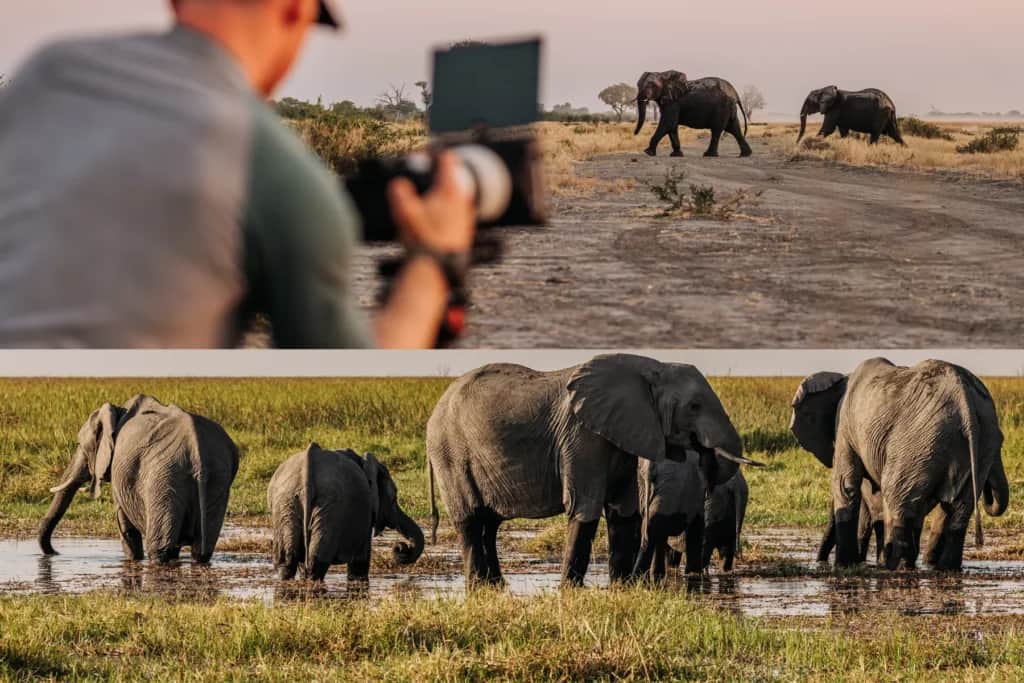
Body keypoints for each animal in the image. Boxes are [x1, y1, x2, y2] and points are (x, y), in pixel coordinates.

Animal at [39, 395, 239, 564]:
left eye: (80, 445)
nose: (56, 553)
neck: (118, 410)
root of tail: (197, 451)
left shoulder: (119, 471)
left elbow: (124, 524)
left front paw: (132, 561)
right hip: (217, 478)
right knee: (202, 549)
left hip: (164, 477)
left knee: (160, 547)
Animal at [267, 443, 424, 581]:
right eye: (393, 499)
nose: (401, 547)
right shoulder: (366, 513)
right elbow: (360, 563)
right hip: (329, 509)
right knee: (316, 562)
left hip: (286, 503)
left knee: (287, 562)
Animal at [426, 353, 761, 587]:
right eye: (694, 406)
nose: (706, 458)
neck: (652, 366)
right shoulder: (581, 435)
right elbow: (584, 507)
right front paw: (570, 590)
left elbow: (623, 512)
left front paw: (622, 587)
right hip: (450, 454)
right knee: (470, 519)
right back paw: (478, 585)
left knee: (490, 523)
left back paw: (495, 585)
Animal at [790, 358, 1009, 571]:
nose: (820, 563)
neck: (843, 379)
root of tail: (964, 399)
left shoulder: (845, 425)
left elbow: (846, 484)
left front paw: (844, 566)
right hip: (981, 440)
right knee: (958, 509)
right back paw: (944, 568)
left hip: (917, 442)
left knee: (898, 497)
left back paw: (897, 566)